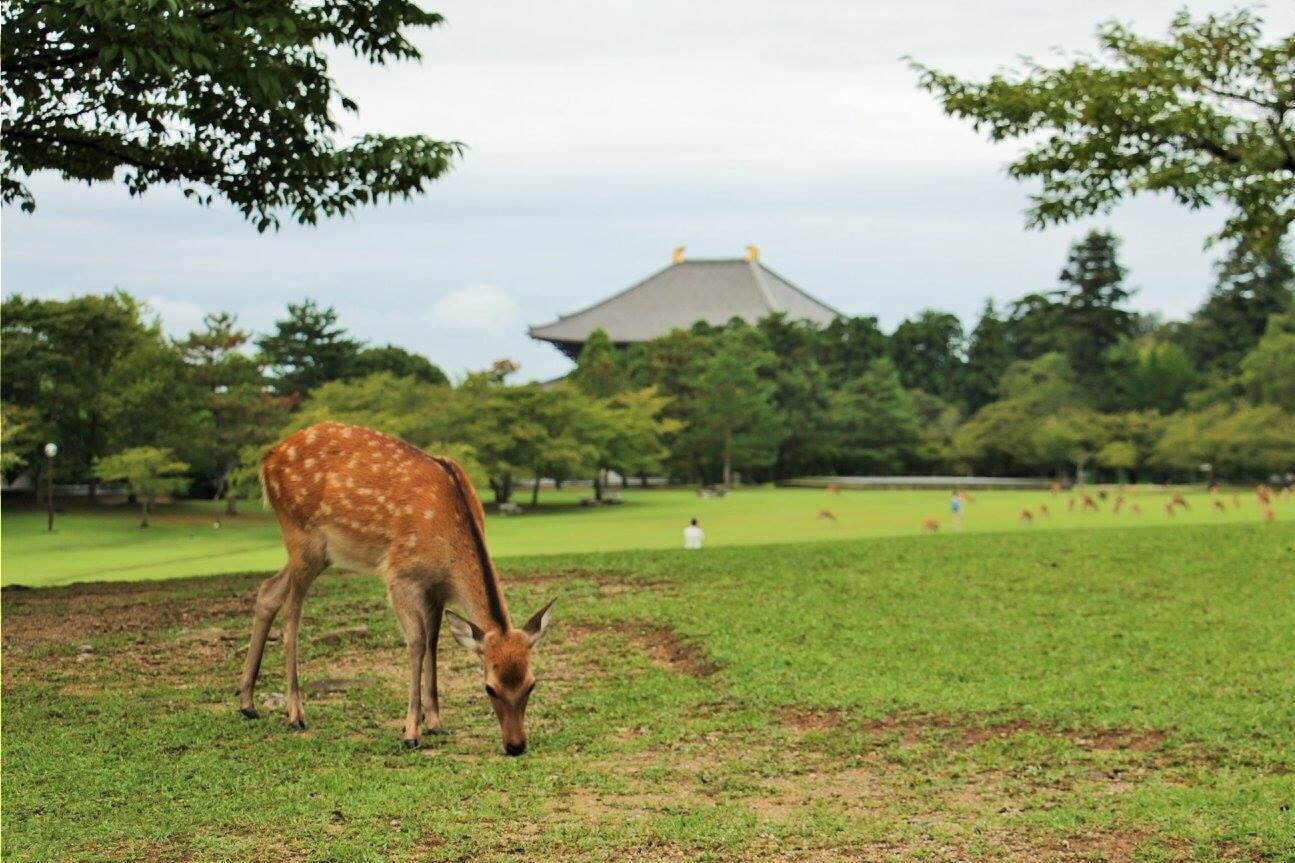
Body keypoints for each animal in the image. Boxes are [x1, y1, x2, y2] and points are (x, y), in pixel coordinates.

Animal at [238, 422, 556, 751]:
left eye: (531, 684)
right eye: (489, 688)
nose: (516, 746)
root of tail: (268, 459)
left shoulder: (436, 590)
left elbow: (433, 643)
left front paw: (436, 722)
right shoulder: (402, 577)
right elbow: (417, 642)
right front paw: (412, 731)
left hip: (321, 552)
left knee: (268, 590)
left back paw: (247, 703)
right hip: (301, 534)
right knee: (292, 616)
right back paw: (295, 714)